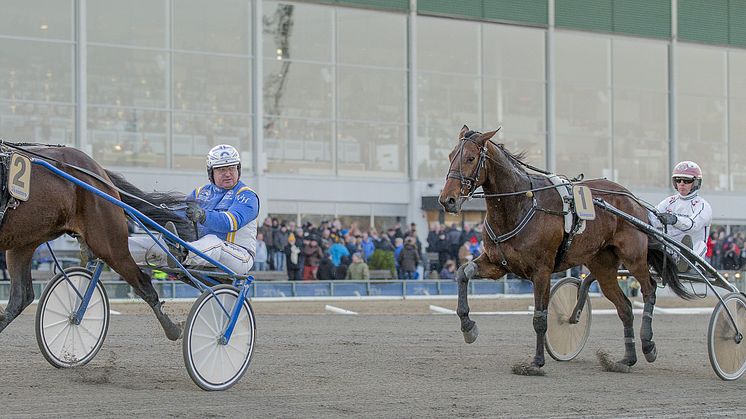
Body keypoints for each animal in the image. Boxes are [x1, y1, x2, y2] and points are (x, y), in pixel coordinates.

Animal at [0, 144, 193, 342]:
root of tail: (99, 172)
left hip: (110, 244)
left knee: (143, 282)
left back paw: (172, 329)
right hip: (23, 243)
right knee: (21, 297)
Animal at [436, 125, 692, 374]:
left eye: (470, 158)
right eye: (449, 156)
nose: (448, 200)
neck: (521, 204)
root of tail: (633, 200)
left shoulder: (542, 270)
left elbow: (540, 317)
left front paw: (536, 363)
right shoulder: (498, 264)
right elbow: (462, 273)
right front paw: (468, 327)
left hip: (634, 257)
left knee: (649, 289)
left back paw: (648, 345)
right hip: (603, 266)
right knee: (625, 308)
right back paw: (626, 360)